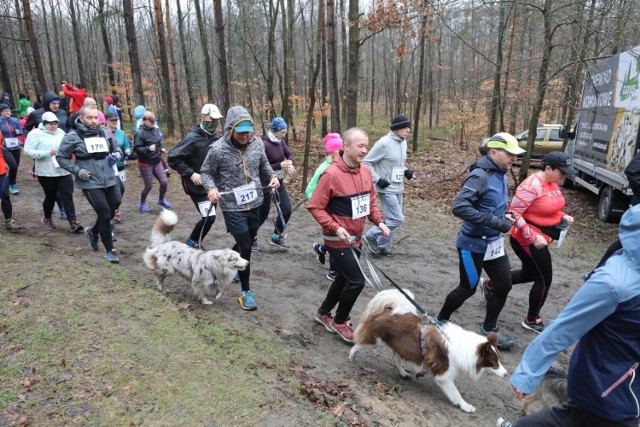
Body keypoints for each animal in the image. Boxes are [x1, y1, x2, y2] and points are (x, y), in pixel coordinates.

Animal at [348, 290, 508, 412]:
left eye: (499, 359)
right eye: (493, 362)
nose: (507, 374)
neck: (465, 349)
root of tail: (391, 312)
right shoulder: (445, 375)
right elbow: (455, 393)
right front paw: (466, 406)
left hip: (402, 347)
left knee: (396, 359)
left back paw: (403, 373)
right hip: (376, 341)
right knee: (359, 344)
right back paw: (351, 356)